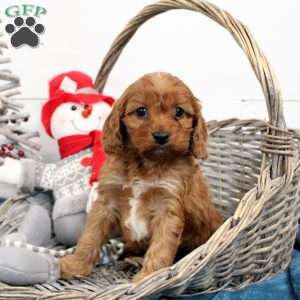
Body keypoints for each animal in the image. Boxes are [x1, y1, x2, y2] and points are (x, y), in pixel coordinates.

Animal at [59, 72, 221, 282]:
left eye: (179, 112)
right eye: (141, 111)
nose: (161, 136)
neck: (147, 163)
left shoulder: (168, 206)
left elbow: (161, 246)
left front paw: (149, 277)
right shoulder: (106, 202)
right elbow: (90, 235)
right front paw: (76, 265)